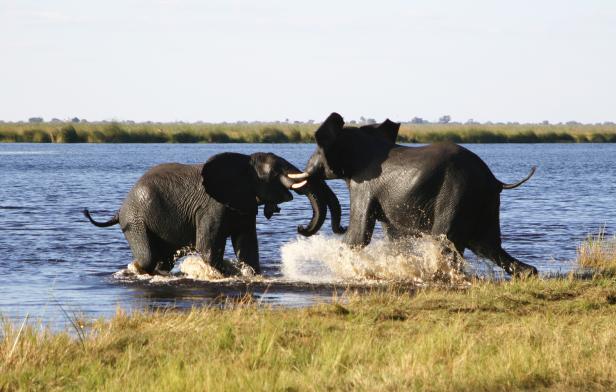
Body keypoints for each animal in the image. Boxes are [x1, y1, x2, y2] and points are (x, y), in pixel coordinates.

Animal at [82, 152, 344, 274]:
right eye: (275, 171)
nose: (300, 227)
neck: (243, 162)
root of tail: (119, 209)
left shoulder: (244, 204)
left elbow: (247, 247)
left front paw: (249, 272)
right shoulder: (212, 206)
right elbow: (207, 248)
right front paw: (232, 273)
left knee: (163, 260)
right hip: (136, 220)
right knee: (148, 257)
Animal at [292, 112, 536, 276]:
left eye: (317, 151)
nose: (301, 227)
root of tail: (493, 179)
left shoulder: (364, 186)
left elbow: (357, 238)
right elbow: (395, 239)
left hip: (457, 193)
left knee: (445, 242)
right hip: (484, 202)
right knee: (487, 245)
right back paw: (528, 274)